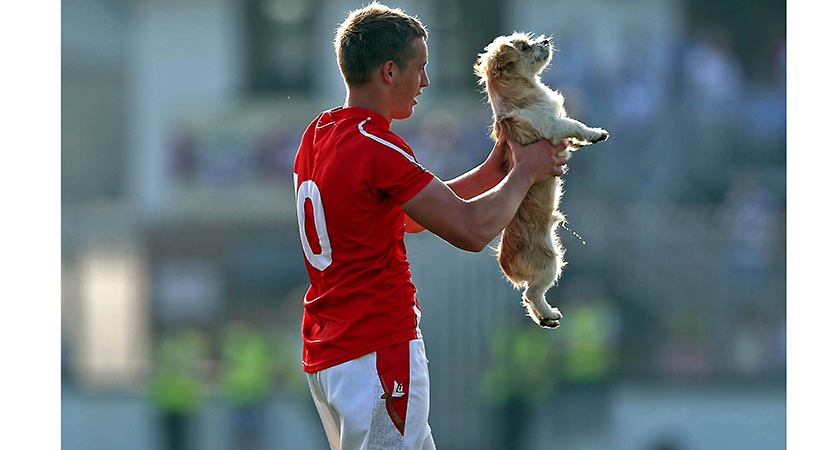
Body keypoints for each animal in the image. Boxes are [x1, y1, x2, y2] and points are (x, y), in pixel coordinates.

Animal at [472, 31, 612, 326]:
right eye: (525, 47)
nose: (545, 41)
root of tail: (506, 263)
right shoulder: (554, 124)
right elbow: (574, 125)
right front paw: (594, 134)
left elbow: (571, 136)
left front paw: (578, 144)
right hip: (550, 263)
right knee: (531, 293)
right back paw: (548, 314)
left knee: (530, 297)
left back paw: (546, 318)